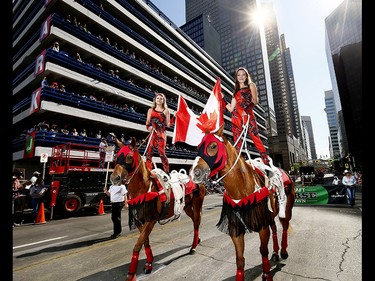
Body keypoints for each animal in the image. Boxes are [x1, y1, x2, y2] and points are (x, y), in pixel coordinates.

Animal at [110, 137, 206, 278]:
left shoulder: (151, 220)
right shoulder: (140, 221)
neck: (144, 189)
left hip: (197, 204)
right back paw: (197, 240)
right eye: (117, 156)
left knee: (197, 223)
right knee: (195, 222)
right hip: (187, 207)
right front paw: (149, 264)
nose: (114, 178)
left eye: (129, 157)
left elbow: (138, 245)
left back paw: (193, 247)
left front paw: (132, 274)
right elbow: (145, 241)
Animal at [189, 126, 296, 278]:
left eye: (213, 146)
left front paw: (266, 274)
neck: (241, 189)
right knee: (275, 228)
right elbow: (239, 259)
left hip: (287, 208)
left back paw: (284, 252)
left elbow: (263, 250)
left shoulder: (262, 226)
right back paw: (276, 252)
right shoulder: (236, 229)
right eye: (198, 147)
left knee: (285, 226)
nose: (195, 173)